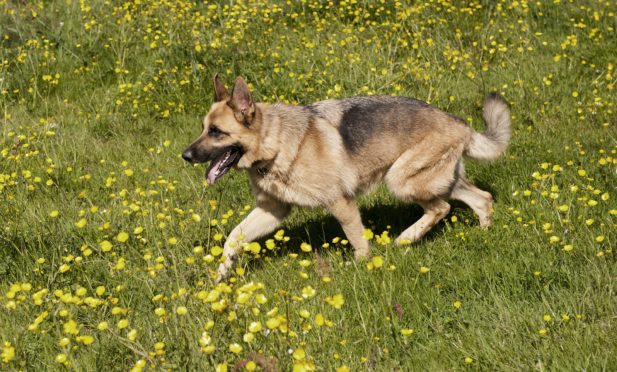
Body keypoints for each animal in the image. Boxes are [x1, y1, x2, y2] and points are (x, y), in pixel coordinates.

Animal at [183, 74, 510, 280]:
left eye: (216, 132)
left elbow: (357, 239)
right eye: (203, 128)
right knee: (481, 199)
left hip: (401, 180)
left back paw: (405, 239)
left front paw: (364, 267)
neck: (273, 143)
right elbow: (233, 238)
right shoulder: (271, 211)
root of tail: (461, 125)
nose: (185, 155)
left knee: (442, 208)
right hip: (437, 180)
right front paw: (220, 279)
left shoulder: (341, 203)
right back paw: (483, 234)